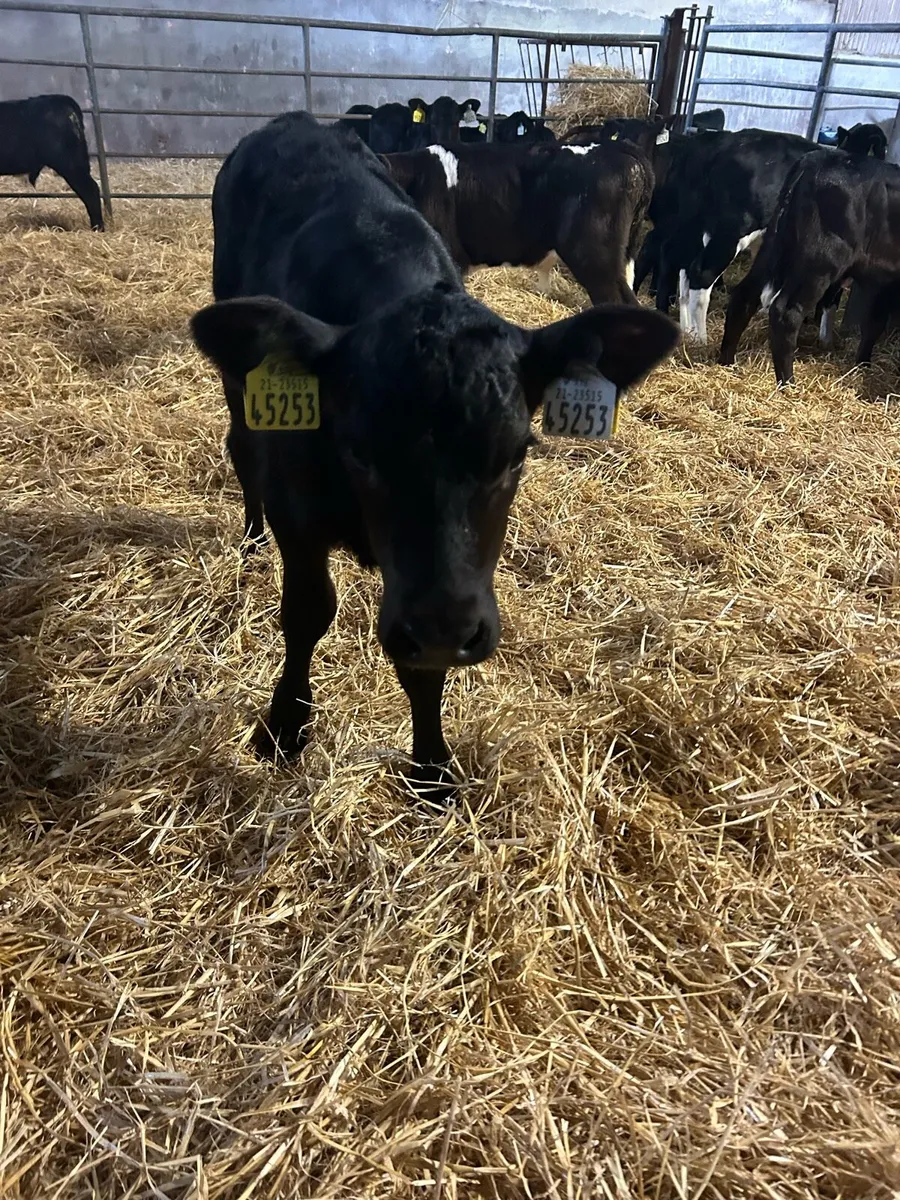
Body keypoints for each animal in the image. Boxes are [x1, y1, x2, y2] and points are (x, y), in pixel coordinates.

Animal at [718, 149, 900, 384]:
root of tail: (817, 158)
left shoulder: (887, 282)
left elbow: (875, 323)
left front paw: (863, 365)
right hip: (819, 262)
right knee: (786, 313)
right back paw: (788, 383)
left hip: (775, 246)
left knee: (744, 296)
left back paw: (726, 363)